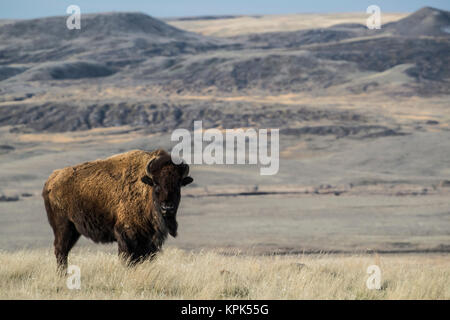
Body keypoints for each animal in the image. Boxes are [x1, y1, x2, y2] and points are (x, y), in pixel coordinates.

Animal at [42, 149, 195, 270]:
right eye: (156, 184)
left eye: (178, 185)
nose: (167, 207)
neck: (146, 186)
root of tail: (51, 180)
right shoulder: (127, 235)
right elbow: (128, 259)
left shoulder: (148, 241)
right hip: (63, 226)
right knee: (61, 250)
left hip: (74, 230)